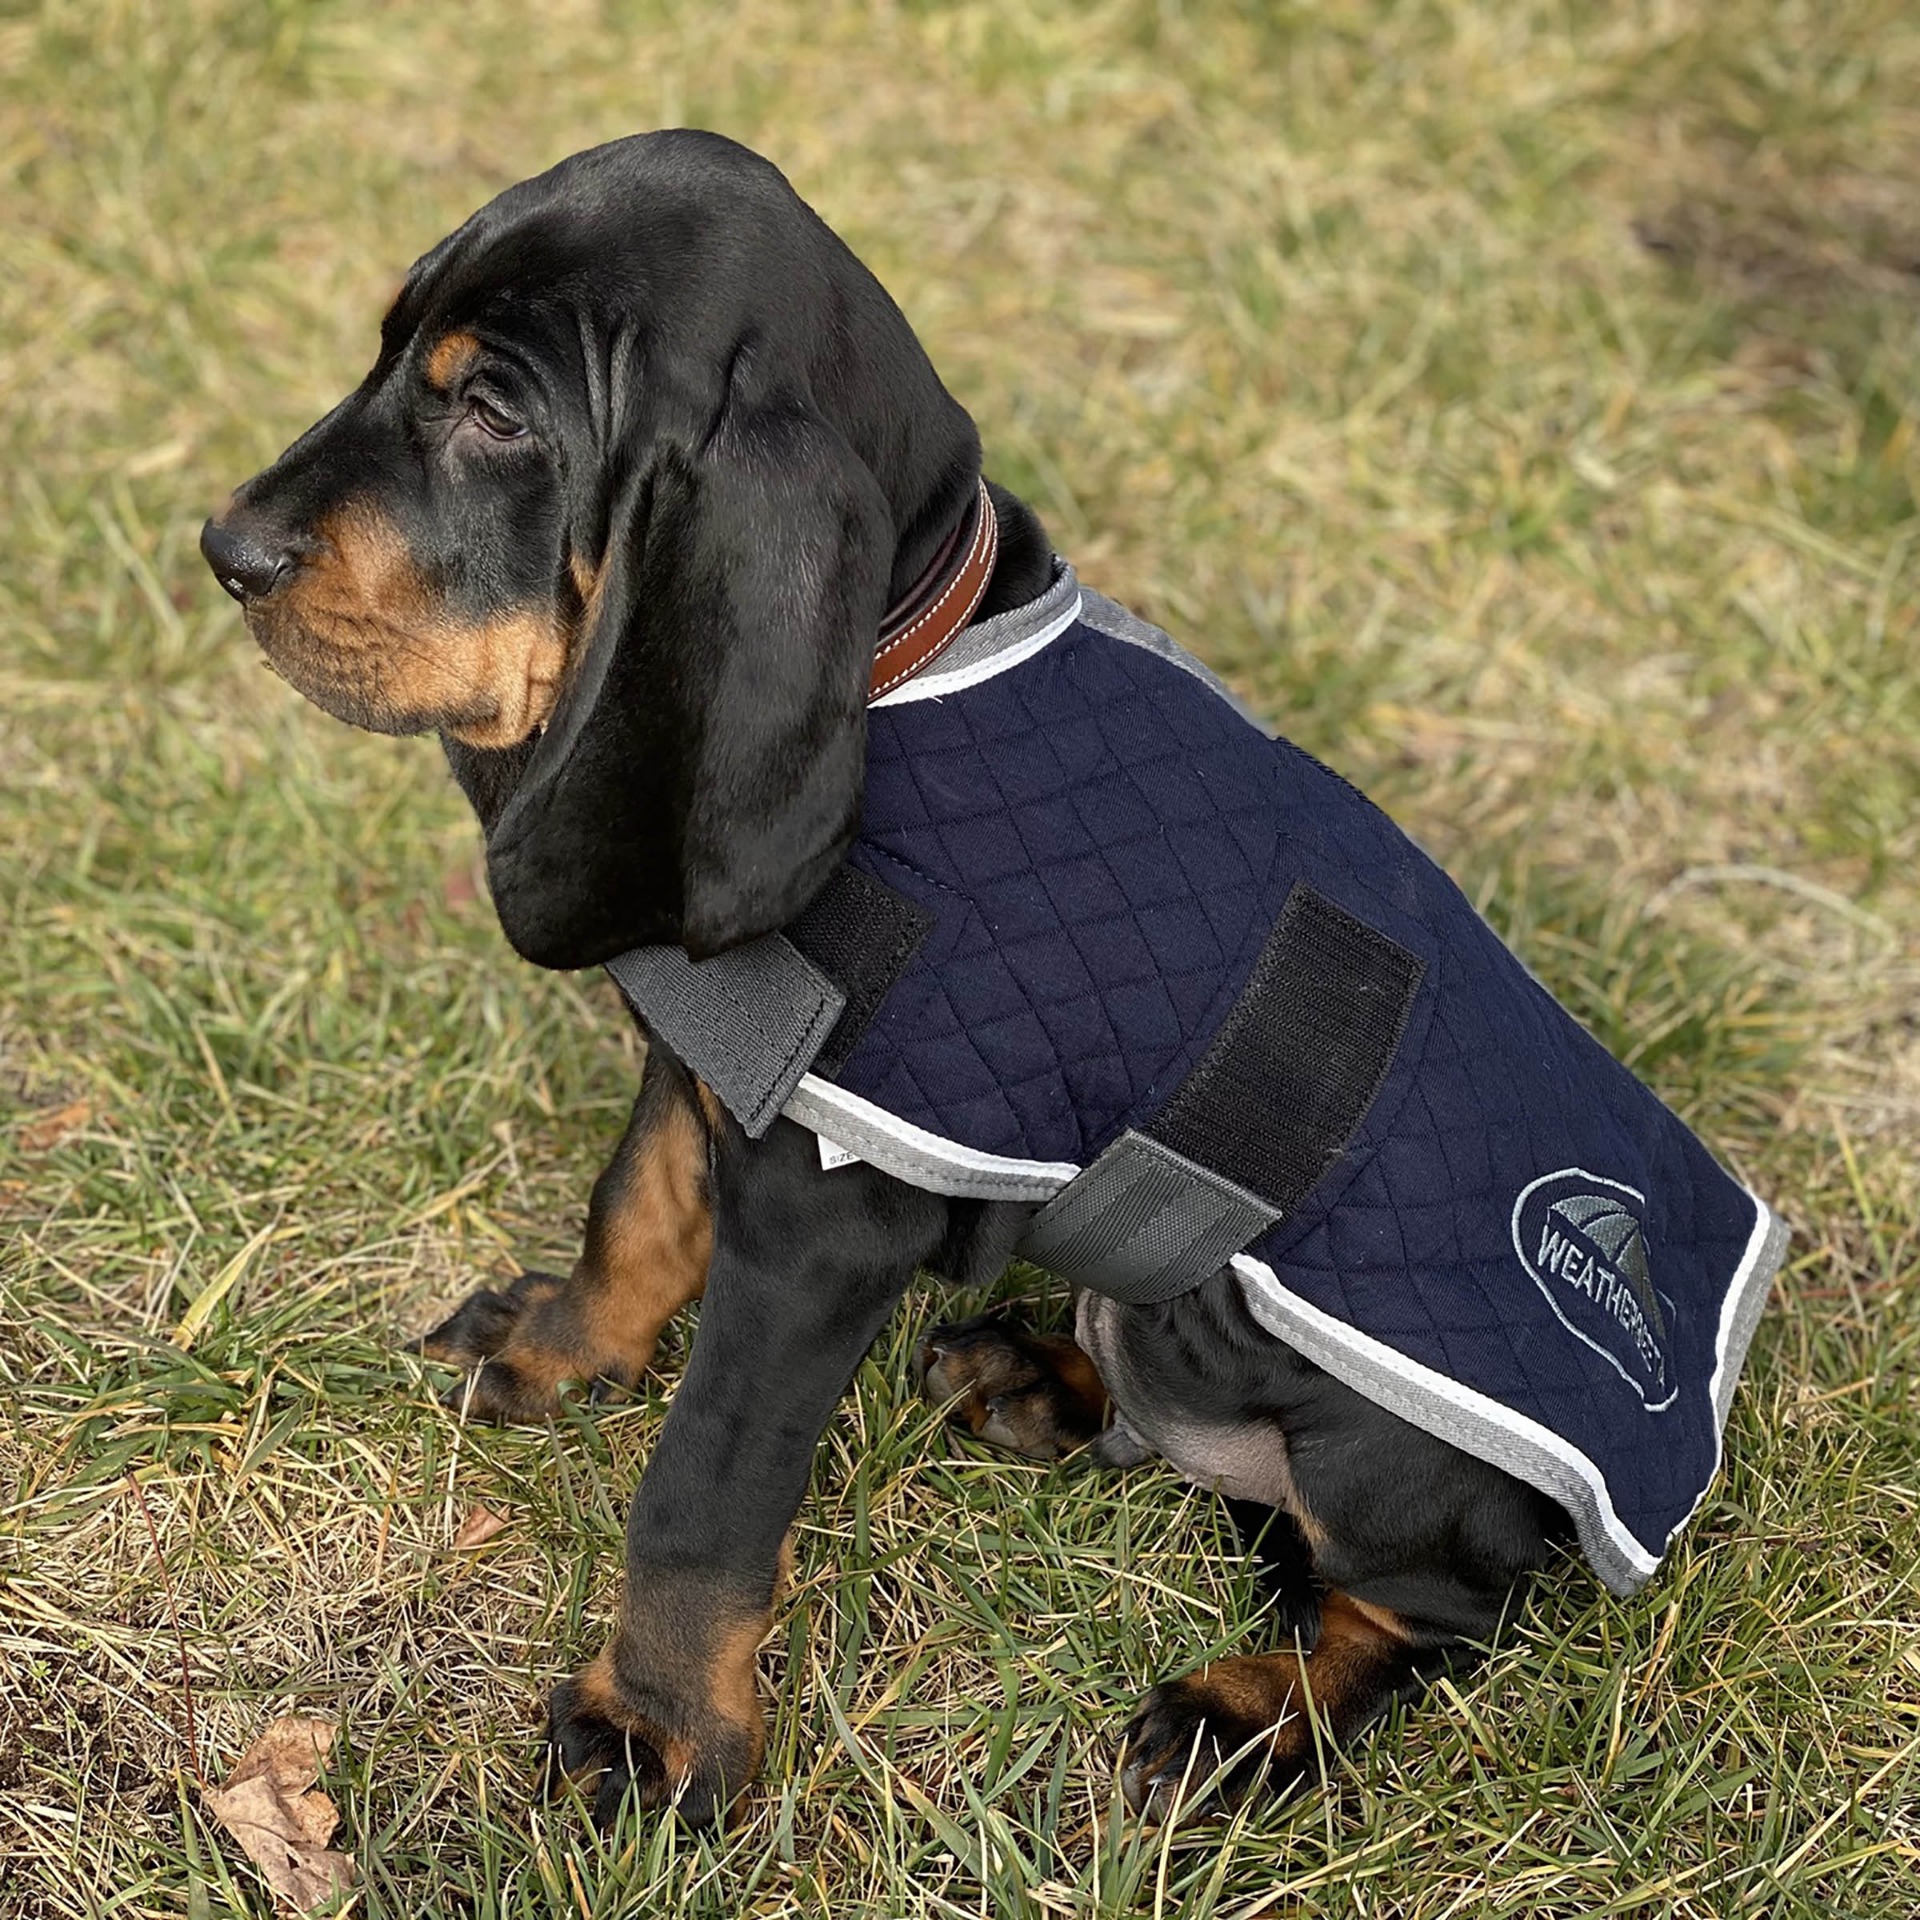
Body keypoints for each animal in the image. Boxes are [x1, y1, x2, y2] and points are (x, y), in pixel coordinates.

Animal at [198, 127, 1712, 1820]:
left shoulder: (820, 1228)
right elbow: (634, 1212)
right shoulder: (722, 1064)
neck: (899, 656)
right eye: (392, 353)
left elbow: (704, 1491)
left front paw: (660, 1733)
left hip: (1387, 1453)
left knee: (1432, 1611)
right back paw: (1038, 1380)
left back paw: (1244, 1718)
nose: (224, 551)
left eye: (496, 412)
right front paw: (556, 1351)